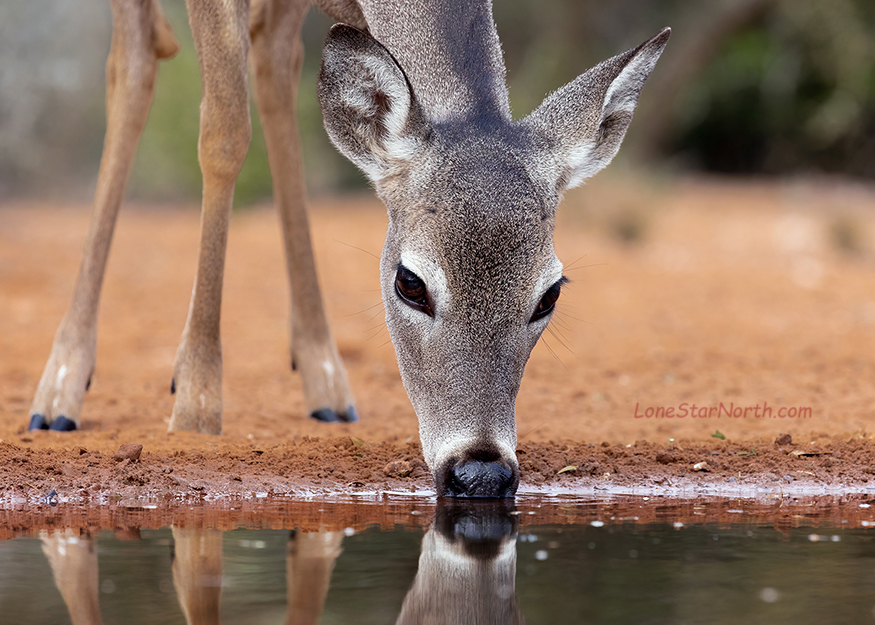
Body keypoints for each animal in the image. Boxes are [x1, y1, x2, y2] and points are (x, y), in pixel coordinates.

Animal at [27, 0, 672, 498]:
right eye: (409, 283)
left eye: (549, 294)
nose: (481, 473)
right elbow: (224, 131)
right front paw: (195, 404)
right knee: (132, 66)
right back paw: (59, 392)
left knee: (275, 64)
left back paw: (327, 383)